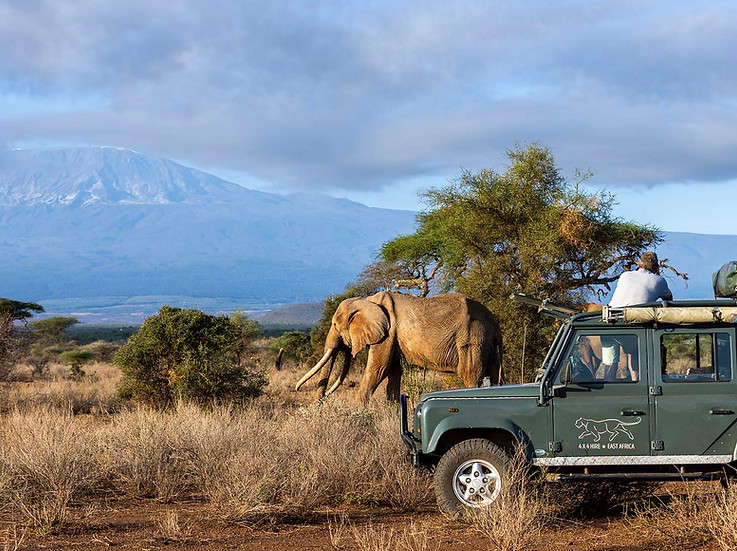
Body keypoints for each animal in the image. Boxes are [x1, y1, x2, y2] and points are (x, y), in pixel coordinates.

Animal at [295, 291, 503, 404]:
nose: (322, 400)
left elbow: (377, 370)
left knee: (471, 375)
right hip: (487, 345)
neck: (366, 300)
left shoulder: (387, 333)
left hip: (472, 341)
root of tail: (494, 321)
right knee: (493, 376)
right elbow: (393, 372)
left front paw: (357, 412)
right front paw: (392, 409)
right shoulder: (392, 338)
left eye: (335, 325)